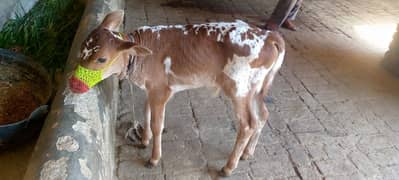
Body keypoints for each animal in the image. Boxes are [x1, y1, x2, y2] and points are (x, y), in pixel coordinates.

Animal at [70, 10, 286, 176]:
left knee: (248, 124)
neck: (139, 62)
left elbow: (157, 125)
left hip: (238, 89)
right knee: (262, 116)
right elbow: (145, 112)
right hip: (256, 89)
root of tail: (269, 35)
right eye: (81, 51)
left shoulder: (161, 91)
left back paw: (228, 167)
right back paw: (247, 153)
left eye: (102, 59)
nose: (73, 84)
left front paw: (154, 158)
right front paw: (144, 140)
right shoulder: (151, 88)